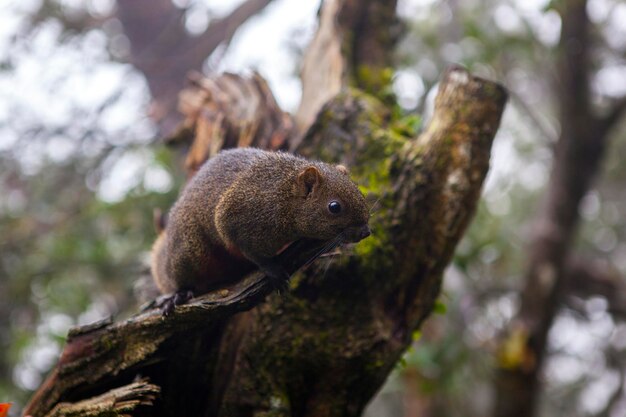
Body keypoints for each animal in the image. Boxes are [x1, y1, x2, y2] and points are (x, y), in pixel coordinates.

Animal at [150, 148, 370, 308]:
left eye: (359, 191)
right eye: (334, 207)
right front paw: (273, 271)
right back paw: (180, 294)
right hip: (189, 251)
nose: (366, 232)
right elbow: (250, 251)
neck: (284, 196)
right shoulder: (233, 218)